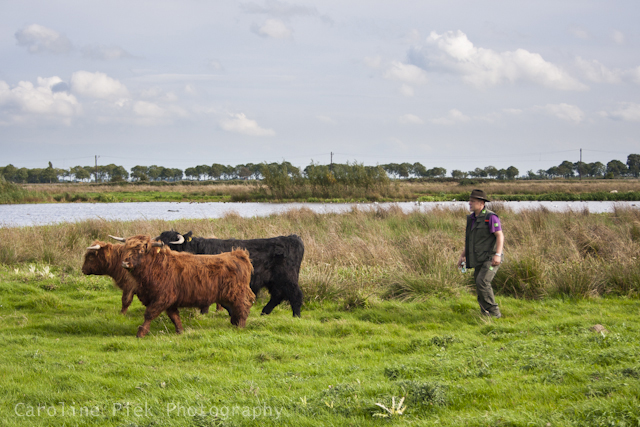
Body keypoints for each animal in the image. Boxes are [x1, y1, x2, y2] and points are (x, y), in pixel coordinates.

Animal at [119, 234, 254, 338]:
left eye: (141, 250)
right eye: (126, 249)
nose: (124, 263)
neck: (155, 266)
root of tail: (238, 254)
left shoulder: (162, 297)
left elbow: (149, 314)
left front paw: (140, 333)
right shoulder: (169, 300)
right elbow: (174, 316)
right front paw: (180, 331)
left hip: (236, 292)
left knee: (243, 306)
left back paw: (240, 326)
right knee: (235, 308)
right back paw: (235, 323)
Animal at [155, 231, 304, 318]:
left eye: (169, 244)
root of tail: (293, 238)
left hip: (287, 277)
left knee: (294, 294)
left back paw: (296, 316)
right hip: (274, 280)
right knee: (277, 295)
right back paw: (264, 313)